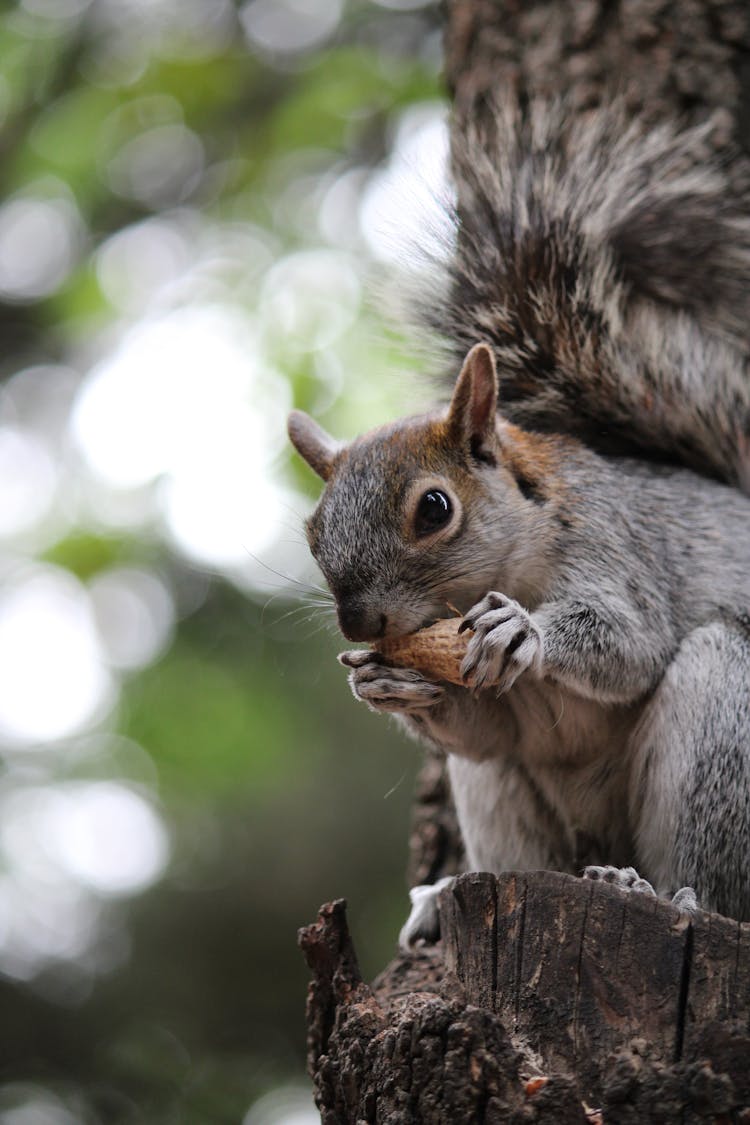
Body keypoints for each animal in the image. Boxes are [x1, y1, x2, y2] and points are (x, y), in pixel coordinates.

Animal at [290, 96, 750, 945]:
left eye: (435, 508)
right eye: (312, 532)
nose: (359, 624)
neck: (512, 564)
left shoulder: (617, 547)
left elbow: (629, 643)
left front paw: (523, 632)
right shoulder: (488, 725)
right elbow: (486, 731)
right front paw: (384, 683)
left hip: (724, 716)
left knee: (718, 879)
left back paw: (665, 892)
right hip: (505, 805)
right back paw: (447, 894)